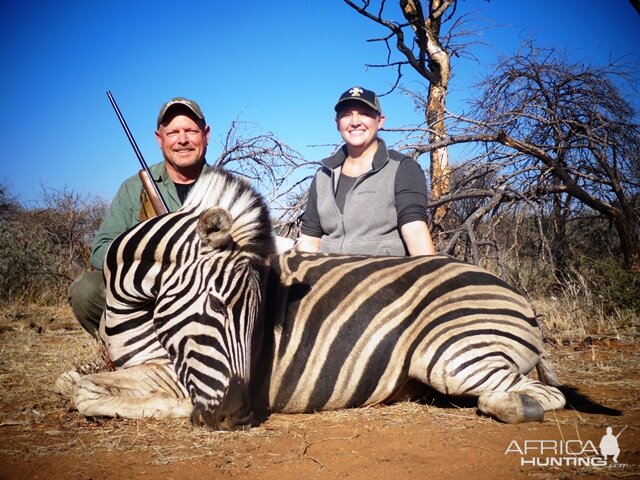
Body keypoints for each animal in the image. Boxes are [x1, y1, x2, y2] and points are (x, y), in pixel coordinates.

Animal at [56, 168, 564, 428]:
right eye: (218, 305)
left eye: (258, 316)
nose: (236, 414)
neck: (132, 308)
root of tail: (519, 298)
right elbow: (71, 381)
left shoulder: (173, 373)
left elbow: (87, 393)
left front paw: (169, 409)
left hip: (450, 353)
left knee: (534, 395)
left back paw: (516, 407)